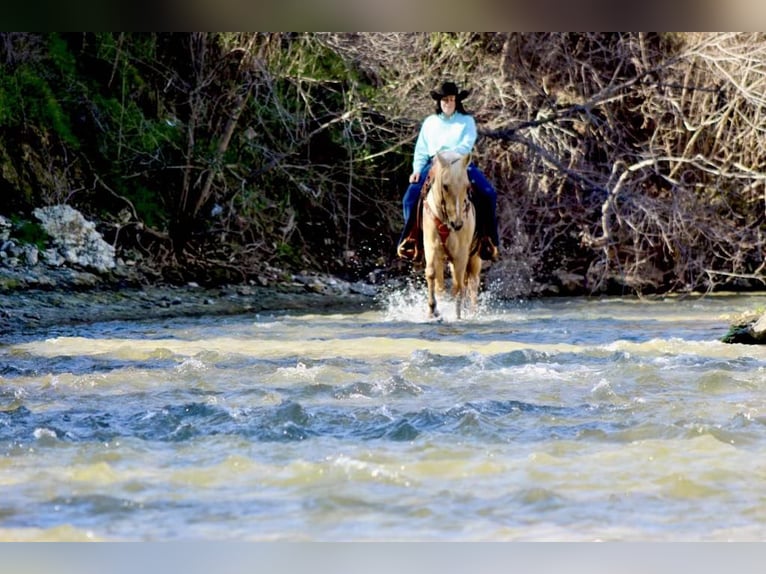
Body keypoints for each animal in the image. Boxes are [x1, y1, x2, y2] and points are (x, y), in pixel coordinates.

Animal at [424, 150, 484, 320]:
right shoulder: (431, 248)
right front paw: (432, 310)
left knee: (472, 283)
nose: (458, 224)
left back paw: (472, 312)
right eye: (445, 186)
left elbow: (458, 285)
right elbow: (432, 276)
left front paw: (457, 315)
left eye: (467, 185)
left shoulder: (461, 254)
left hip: (474, 257)